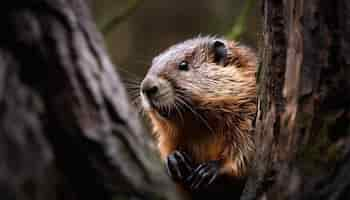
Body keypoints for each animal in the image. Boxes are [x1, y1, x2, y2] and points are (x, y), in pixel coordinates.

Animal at [139, 36, 258, 198]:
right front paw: (175, 160)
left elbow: (245, 146)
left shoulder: (248, 108)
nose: (147, 87)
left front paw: (206, 171)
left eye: (184, 64)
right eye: (152, 65)